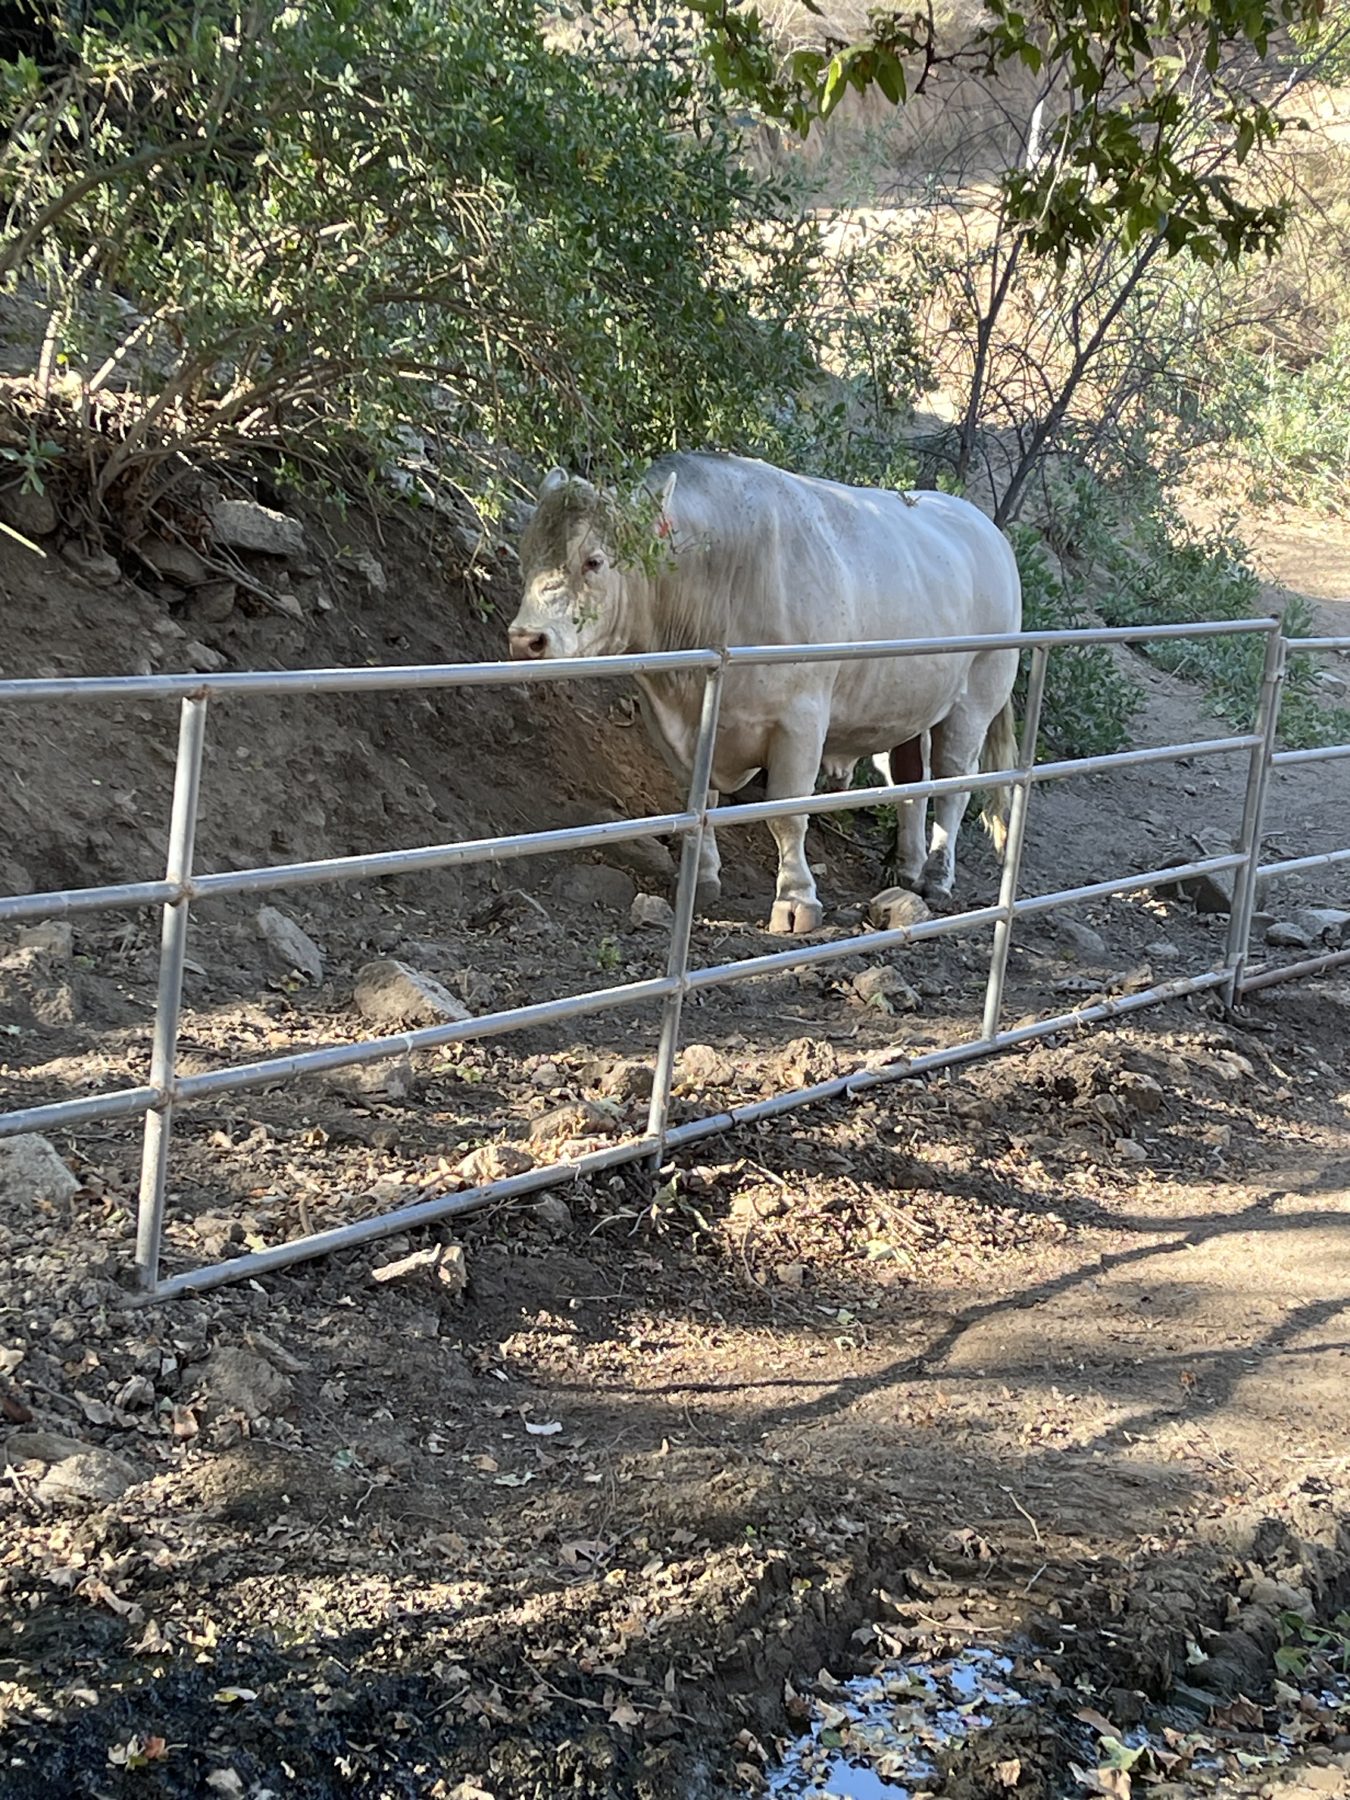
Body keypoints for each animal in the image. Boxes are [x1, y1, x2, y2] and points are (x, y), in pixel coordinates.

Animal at [507, 453, 1021, 934]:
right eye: (525, 555)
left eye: (593, 560)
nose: (525, 639)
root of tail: (987, 530)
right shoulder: (674, 723)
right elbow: (700, 799)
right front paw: (702, 878)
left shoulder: (800, 719)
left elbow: (786, 814)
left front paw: (796, 900)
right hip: (907, 706)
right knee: (910, 783)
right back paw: (907, 868)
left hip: (976, 698)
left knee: (955, 783)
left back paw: (936, 877)